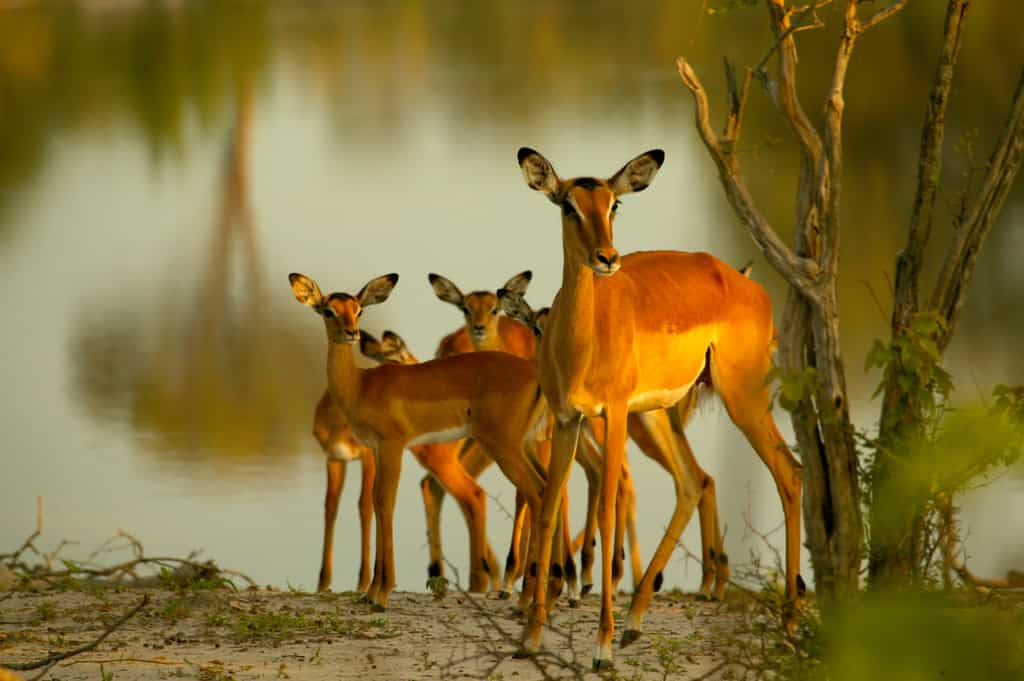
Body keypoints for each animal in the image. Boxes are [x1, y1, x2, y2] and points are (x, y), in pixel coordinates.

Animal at [289, 272, 554, 611]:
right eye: (328, 310)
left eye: (358, 310)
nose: (351, 334)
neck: (361, 385)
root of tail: (535, 373)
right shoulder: (376, 450)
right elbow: (375, 502)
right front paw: (371, 592)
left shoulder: (391, 446)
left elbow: (384, 502)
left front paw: (381, 594)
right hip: (525, 446)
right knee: (543, 491)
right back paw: (528, 598)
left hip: (504, 447)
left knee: (533, 494)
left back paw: (525, 600)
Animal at [513, 148, 802, 669]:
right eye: (567, 204)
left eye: (614, 204)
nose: (607, 258)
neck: (581, 341)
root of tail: (746, 285)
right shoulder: (568, 420)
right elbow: (547, 508)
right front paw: (530, 638)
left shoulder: (612, 415)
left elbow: (607, 513)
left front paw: (601, 649)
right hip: (658, 414)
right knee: (693, 481)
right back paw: (634, 622)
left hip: (740, 399)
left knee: (788, 473)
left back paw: (788, 627)